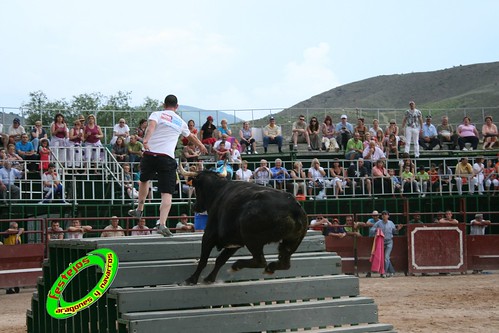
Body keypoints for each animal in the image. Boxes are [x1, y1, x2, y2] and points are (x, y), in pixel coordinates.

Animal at [182, 170, 310, 284]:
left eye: (196, 188)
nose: (194, 206)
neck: (217, 190)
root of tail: (294, 206)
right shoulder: (234, 243)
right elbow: (220, 260)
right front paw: (210, 278)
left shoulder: (209, 235)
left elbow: (204, 259)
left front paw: (191, 279)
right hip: (291, 241)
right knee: (284, 263)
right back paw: (270, 268)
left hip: (252, 239)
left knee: (260, 261)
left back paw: (236, 265)